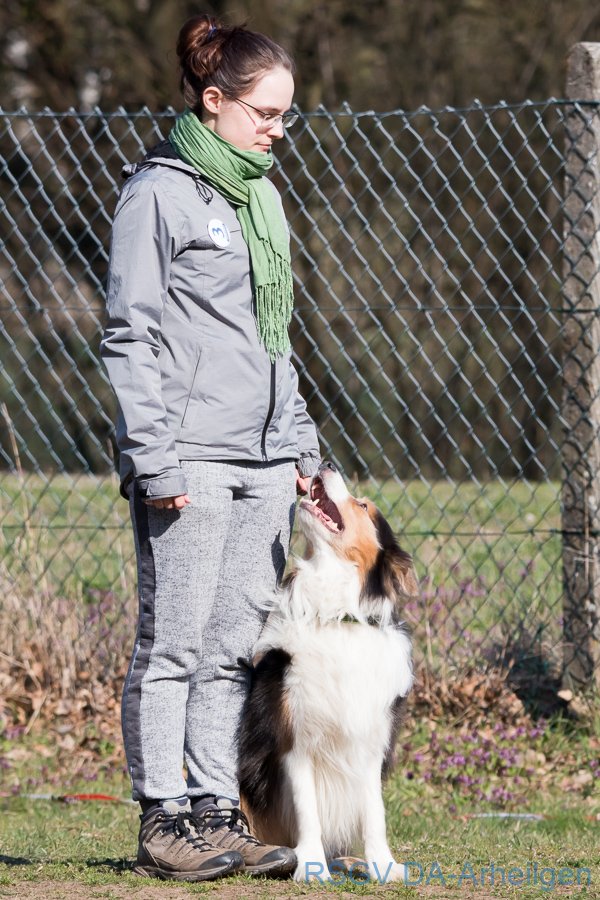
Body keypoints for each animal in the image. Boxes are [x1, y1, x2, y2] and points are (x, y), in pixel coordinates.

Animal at [238, 461, 417, 883]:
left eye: (364, 505)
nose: (325, 464)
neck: (337, 617)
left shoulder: (370, 740)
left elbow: (375, 813)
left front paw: (383, 865)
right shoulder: (294, 740)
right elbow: (308, 812)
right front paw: (311, 866)